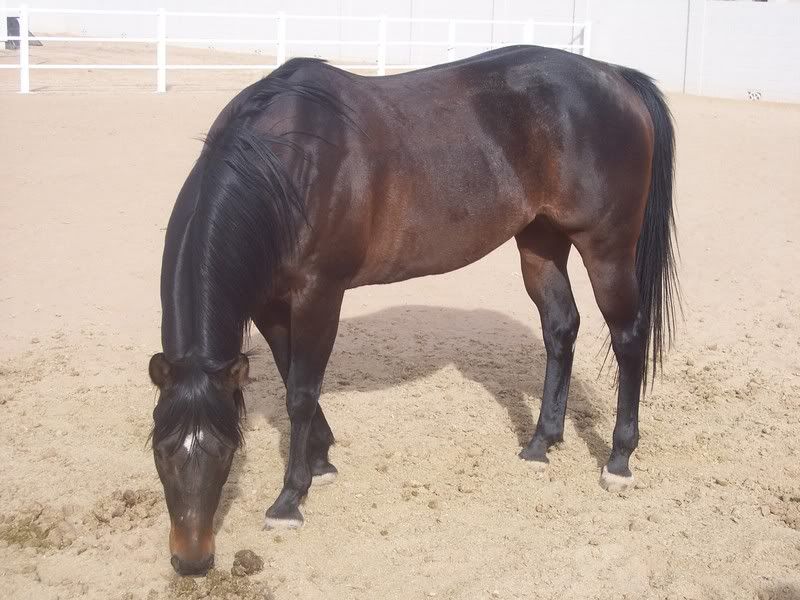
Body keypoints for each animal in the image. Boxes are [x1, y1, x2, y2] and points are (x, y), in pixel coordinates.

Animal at [148, 45, 678, 575]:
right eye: (160, 450)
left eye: (224, 449)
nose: (191, 561)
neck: (286, 167)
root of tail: (616, 76)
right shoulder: (270, 304)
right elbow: (289, 377)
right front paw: (320, 461)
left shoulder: (320, 293)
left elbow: (300, 391)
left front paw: (290, 499)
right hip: (540, 241)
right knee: (560, 328)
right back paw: (541, 442)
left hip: (606, 248)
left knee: (628, 337)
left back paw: (619, 459)